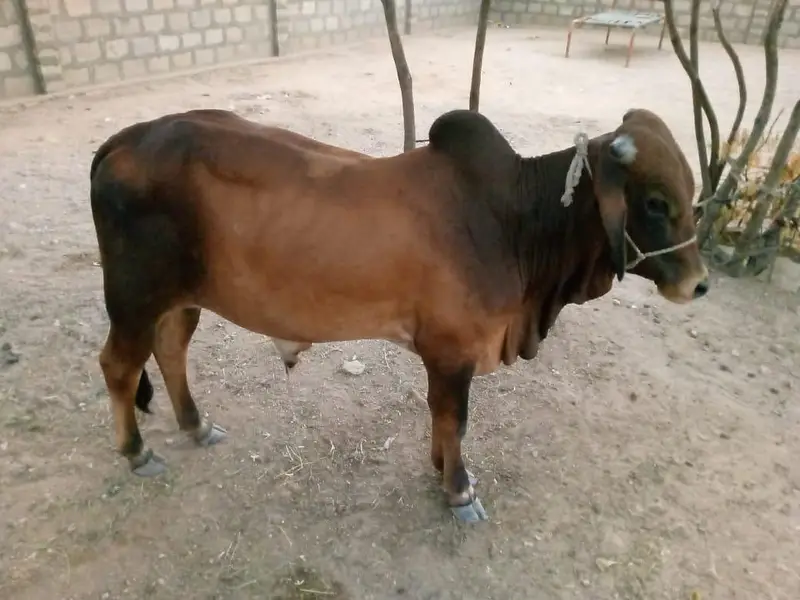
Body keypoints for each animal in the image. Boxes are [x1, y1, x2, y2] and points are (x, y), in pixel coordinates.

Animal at [89, 107, 708, 522]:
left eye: (691, 193)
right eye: (656, 202)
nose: (698, 283)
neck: (514, 221)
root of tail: (125, 139)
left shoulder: (443, 356)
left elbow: (440, 416)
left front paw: (439, 468)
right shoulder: (454, 351)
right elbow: (456, 420)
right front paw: (460, 491)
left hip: (181, 297)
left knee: (170, 349)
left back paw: (197, 426)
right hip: (133, 297)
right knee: (118, 366)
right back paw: (137, 453)